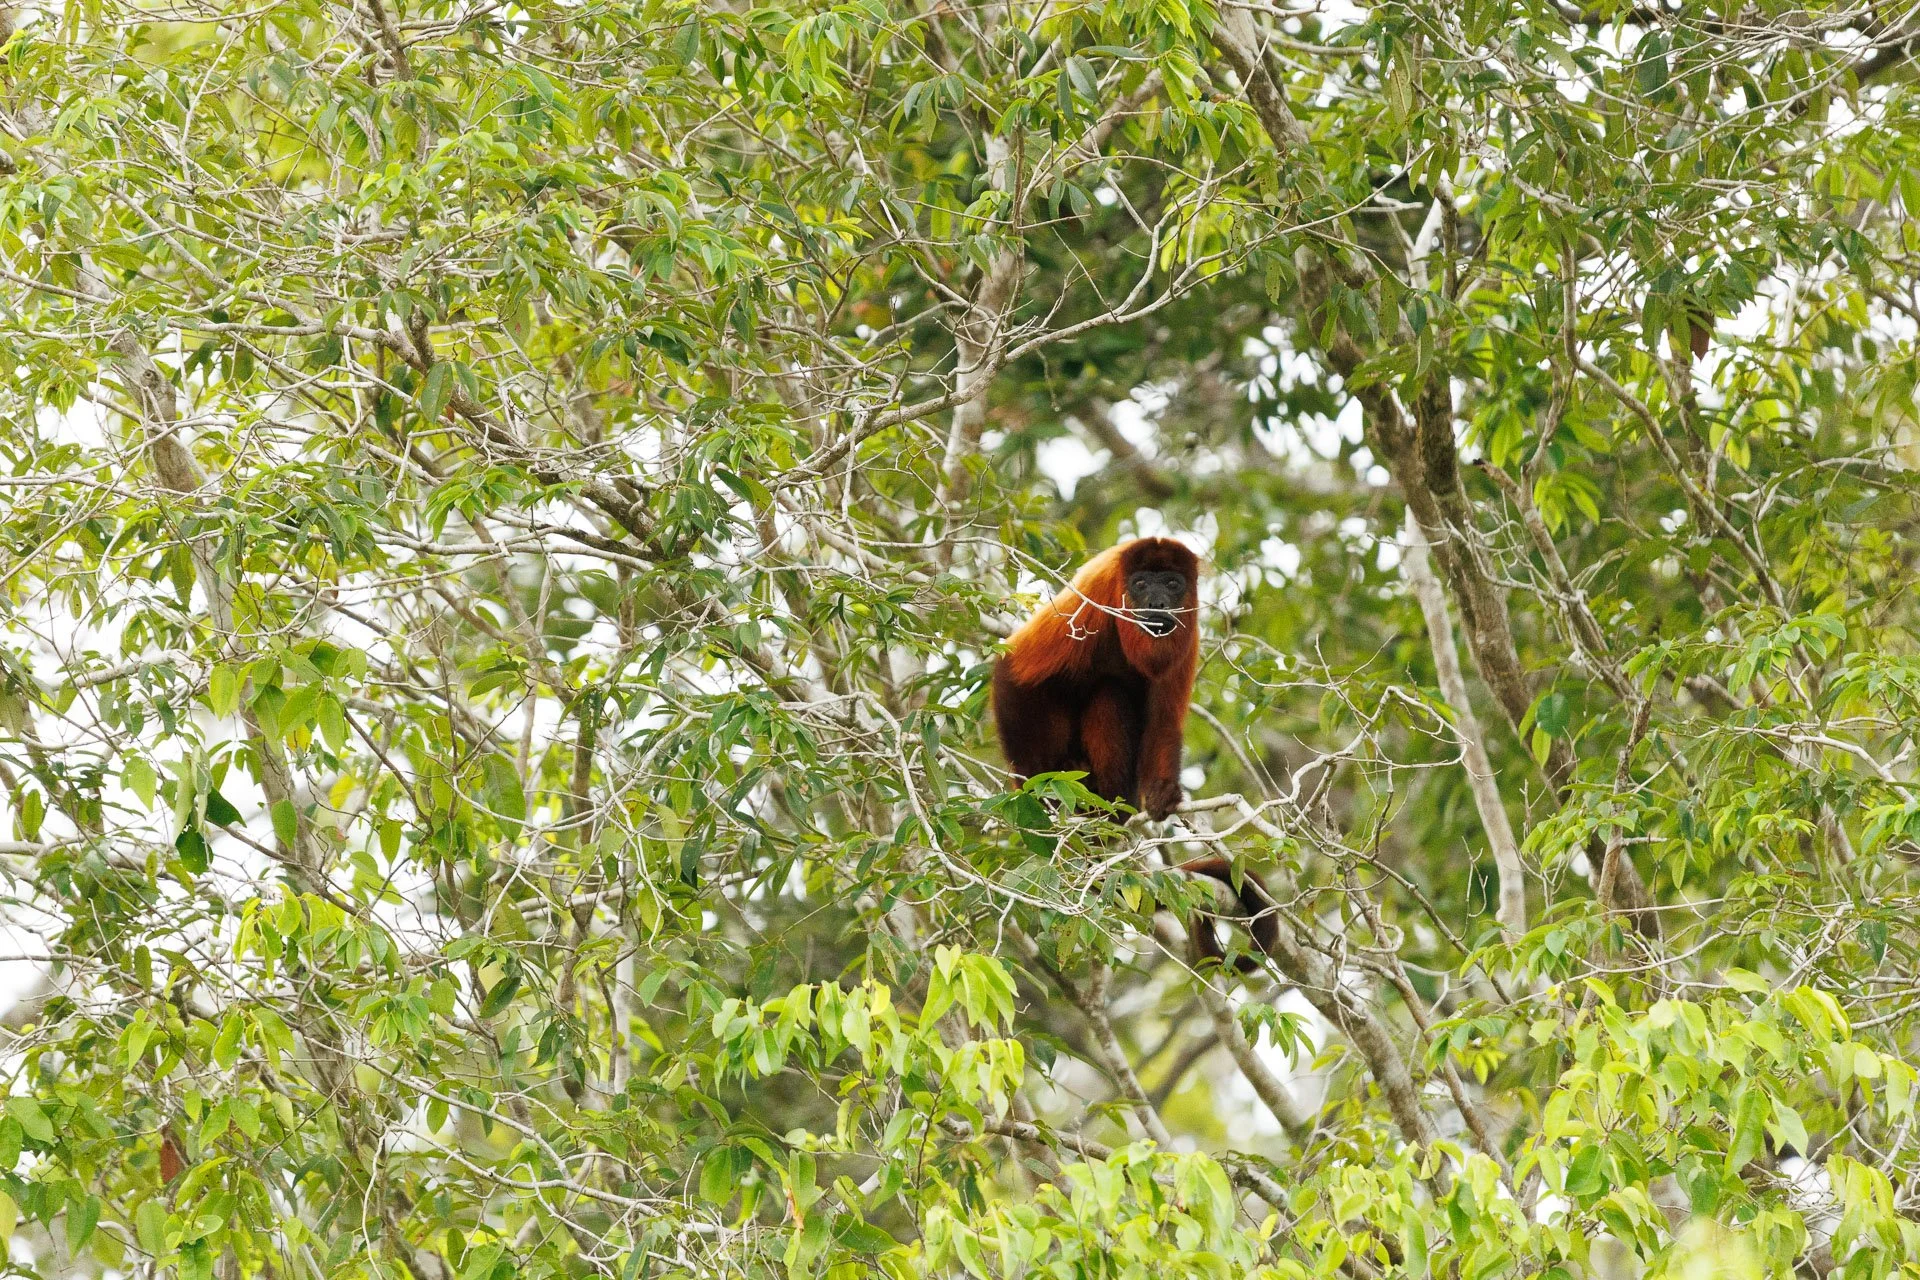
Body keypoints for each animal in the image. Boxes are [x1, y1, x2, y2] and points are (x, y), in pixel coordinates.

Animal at [991, 537, 1279, 970]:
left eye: (1173, 584)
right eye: (1141, 584)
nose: (1158, 602)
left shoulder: (1190, 629)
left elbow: (1164, 720)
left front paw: (1162, 793)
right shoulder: (1092, 599)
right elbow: (1012, 672)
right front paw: (1036, 797)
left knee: (1111, 696)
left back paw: (1112, 808)